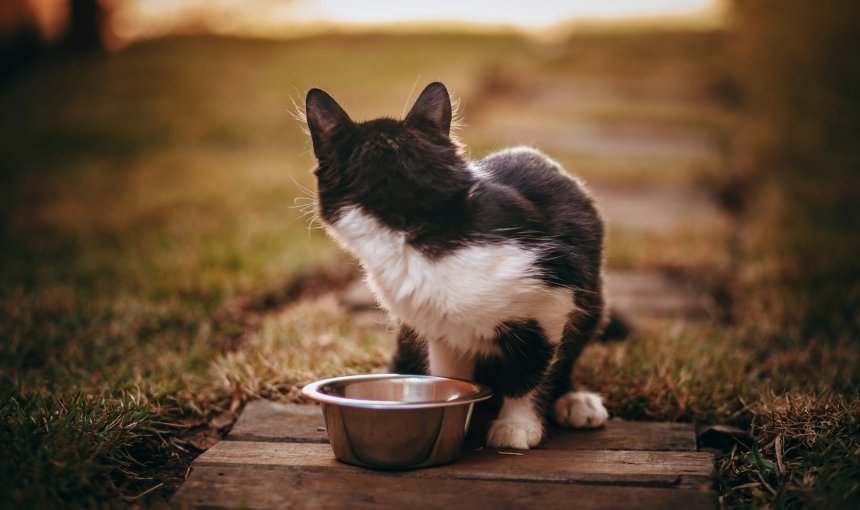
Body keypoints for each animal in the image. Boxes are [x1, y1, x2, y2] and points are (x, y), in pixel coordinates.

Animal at [306, 81, 620, 448]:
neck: (422, 223)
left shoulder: (551, 299)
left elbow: (530, 367)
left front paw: (516, 425)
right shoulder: (437, 323)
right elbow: (448, 372)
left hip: (593, 299)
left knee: (569, 349)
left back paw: (574, 400)